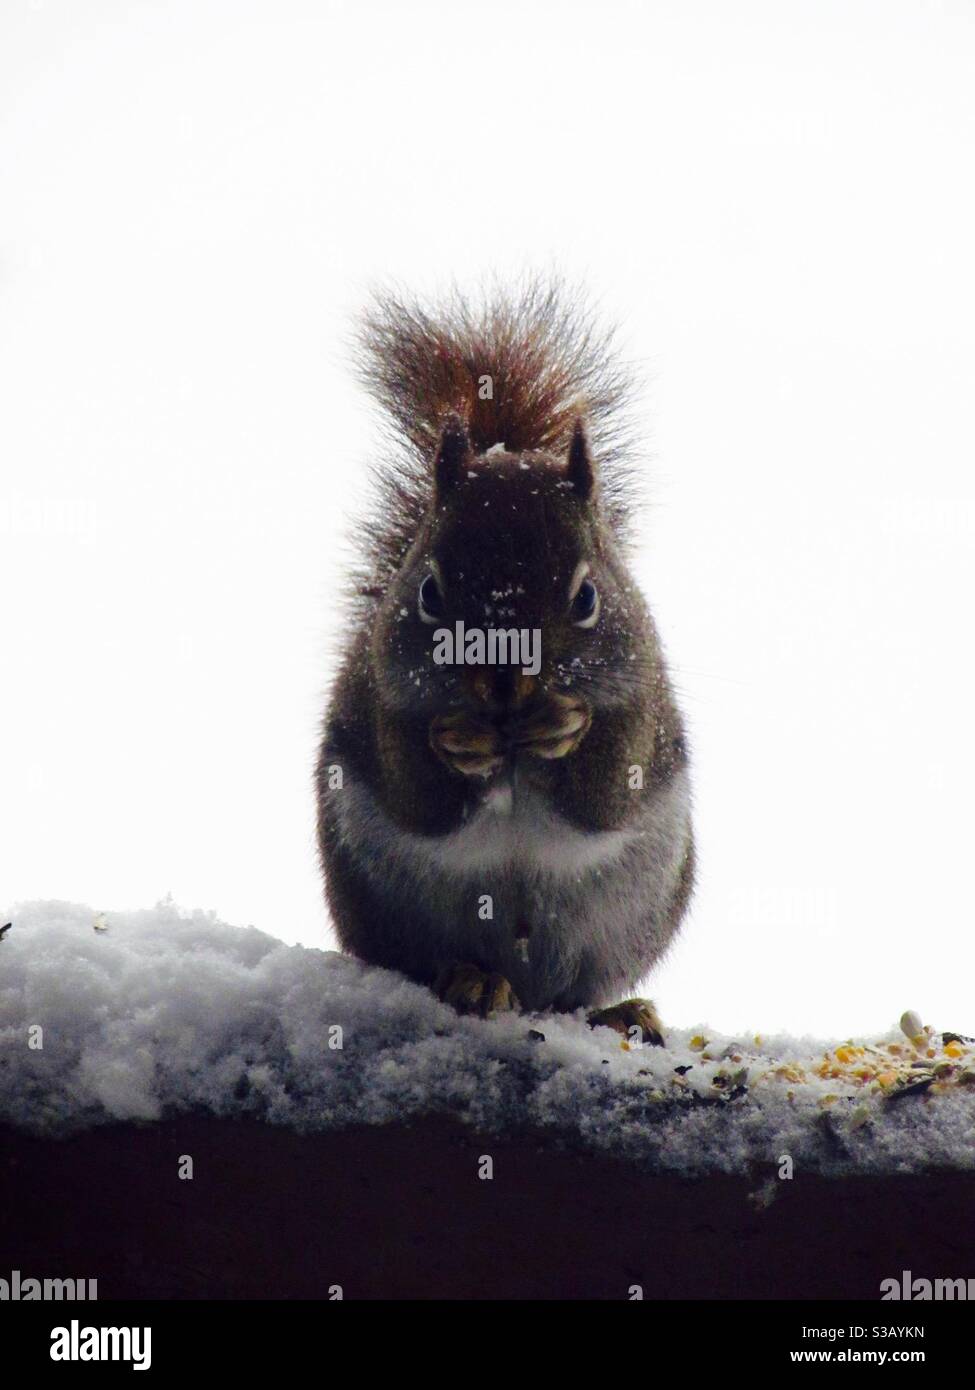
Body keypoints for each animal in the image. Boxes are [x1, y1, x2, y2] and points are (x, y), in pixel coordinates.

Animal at [314, 279, 692, 1045]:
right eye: (428, 592)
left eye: (586, 597)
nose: (504, 686)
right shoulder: (377, 701)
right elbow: (414, 791)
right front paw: (456, 740)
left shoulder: (644, 709)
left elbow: (608, 791)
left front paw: (565, 725)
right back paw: (473, 980)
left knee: (572, 995)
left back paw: (616, 1011)